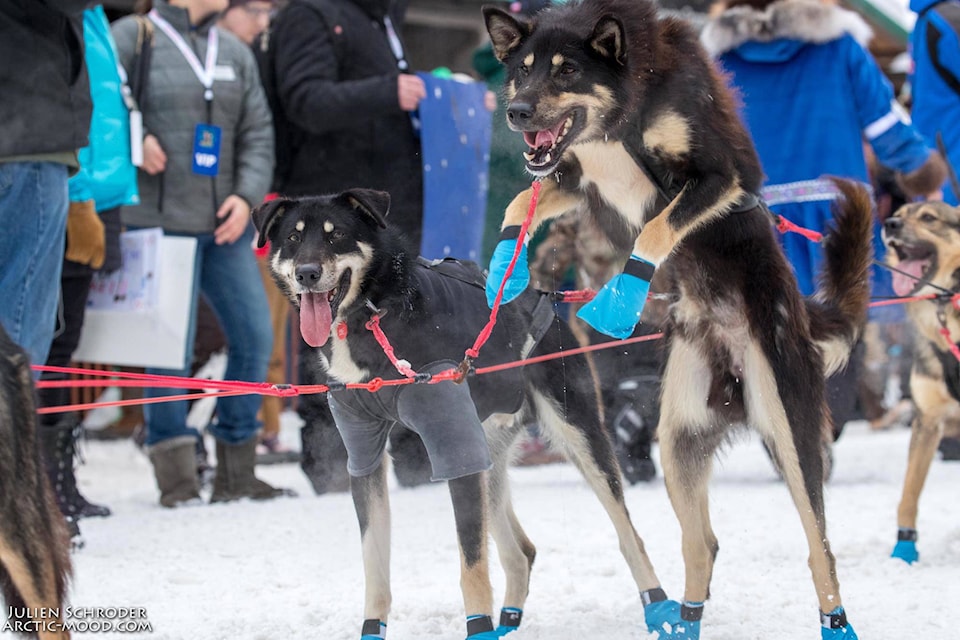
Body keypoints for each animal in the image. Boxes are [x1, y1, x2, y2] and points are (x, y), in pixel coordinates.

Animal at [251, 190, 664, 640]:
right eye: (293, 238)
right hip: (487, 457)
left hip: (577, 436)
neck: (377, 313)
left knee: (630, 537)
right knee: (521, 552)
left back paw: (664, 612)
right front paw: (372, 627)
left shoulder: (454, 453)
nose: (307, 273)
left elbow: (472, 564)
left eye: (336, 234)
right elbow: (374, 563)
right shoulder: (365, 454)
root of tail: (541, 295)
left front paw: (477, 626)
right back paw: (508, 626)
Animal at [484, 1, 872, 640]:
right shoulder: (570, 178)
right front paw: (503, 268)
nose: (516, 113)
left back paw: (836, 620)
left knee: (819, 546)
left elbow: (654, 228)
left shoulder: (717, 178)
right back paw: (684, 619)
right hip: (679, 441)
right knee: (702, 544)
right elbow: (521, 204)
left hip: (789, 431)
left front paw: (622, 294)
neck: (620, 118)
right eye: (523, 70)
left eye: (567, 71)